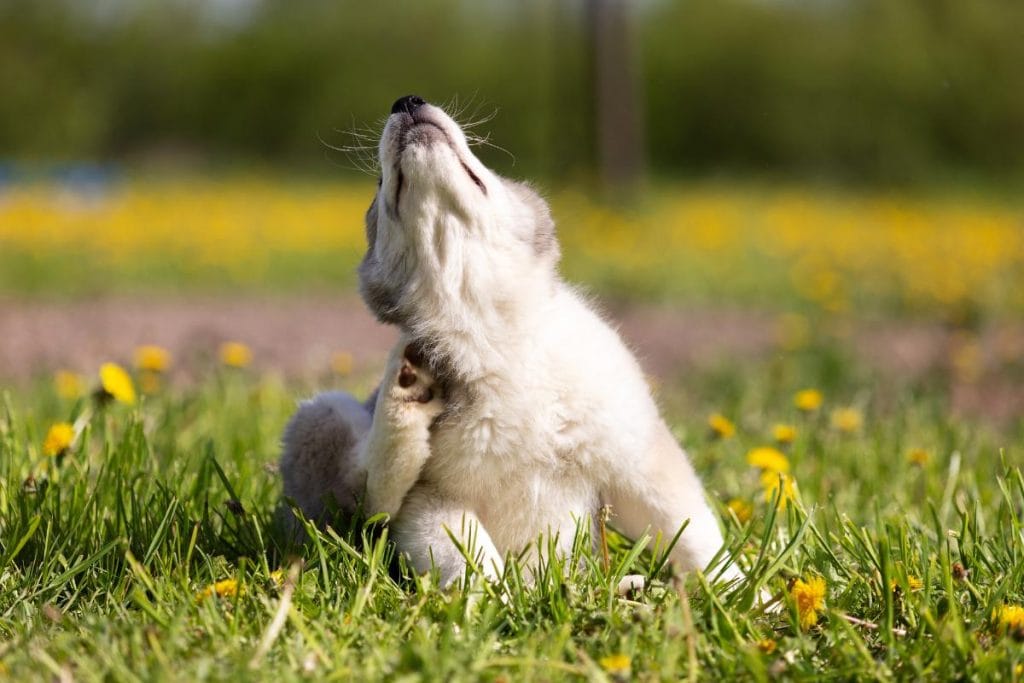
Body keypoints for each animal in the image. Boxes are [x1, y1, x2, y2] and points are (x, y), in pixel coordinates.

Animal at [280, 93, 745, 589]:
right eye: (381, 182)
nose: (406, 100)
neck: (491, 333)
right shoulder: (430, 502)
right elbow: (468, 560)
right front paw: (497, 601)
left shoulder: (638, 460)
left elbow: (696, 539)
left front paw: (751, 595)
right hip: (319, 416)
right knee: (363, 496)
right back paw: (402, 397)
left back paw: (626, 588)